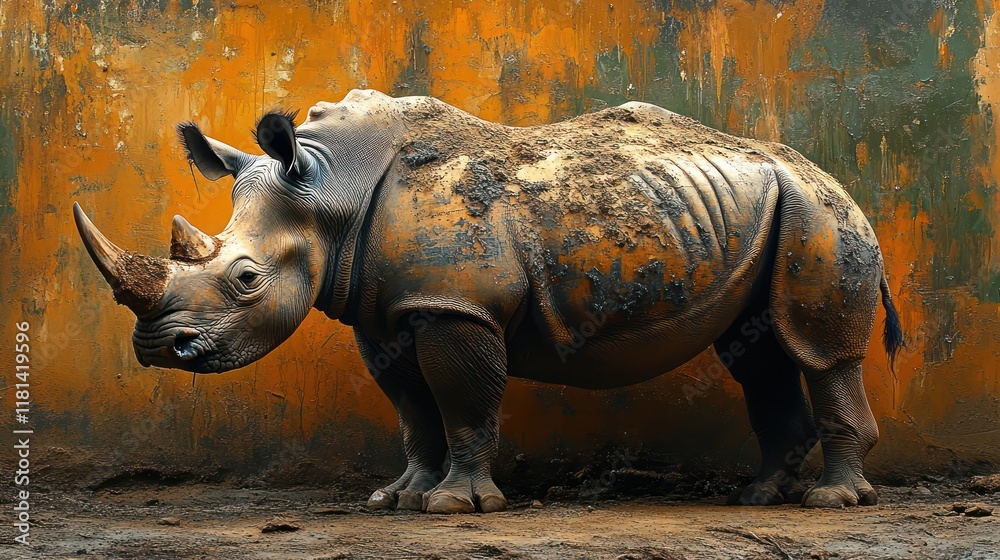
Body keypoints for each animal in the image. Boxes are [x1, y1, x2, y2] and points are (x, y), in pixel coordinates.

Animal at [74, 89, 902, 513]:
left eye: (246, 279)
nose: (158, 350)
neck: (332, 194)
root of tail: (821, 170)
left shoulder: (454, 305)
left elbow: (464, 400)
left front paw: (455, 508)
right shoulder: (386, 312)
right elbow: (413, 411)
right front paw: (397, 498)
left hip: (822, 209)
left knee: (820, 351)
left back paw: (831, 502)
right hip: (764, 210)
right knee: (759, 351)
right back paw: (763, 497)